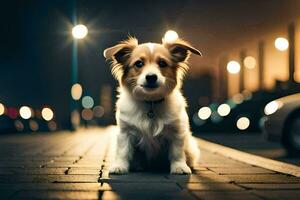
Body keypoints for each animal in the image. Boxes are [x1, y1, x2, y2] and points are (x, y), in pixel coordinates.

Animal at [103, 36, 202, 174]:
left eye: (162, 63)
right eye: (139, 63)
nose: (151, 77)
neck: (150, 102)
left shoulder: (177, 132)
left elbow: (177, 152)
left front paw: (179, 166)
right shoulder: (125, 132)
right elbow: (123, 151)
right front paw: (119, 166)